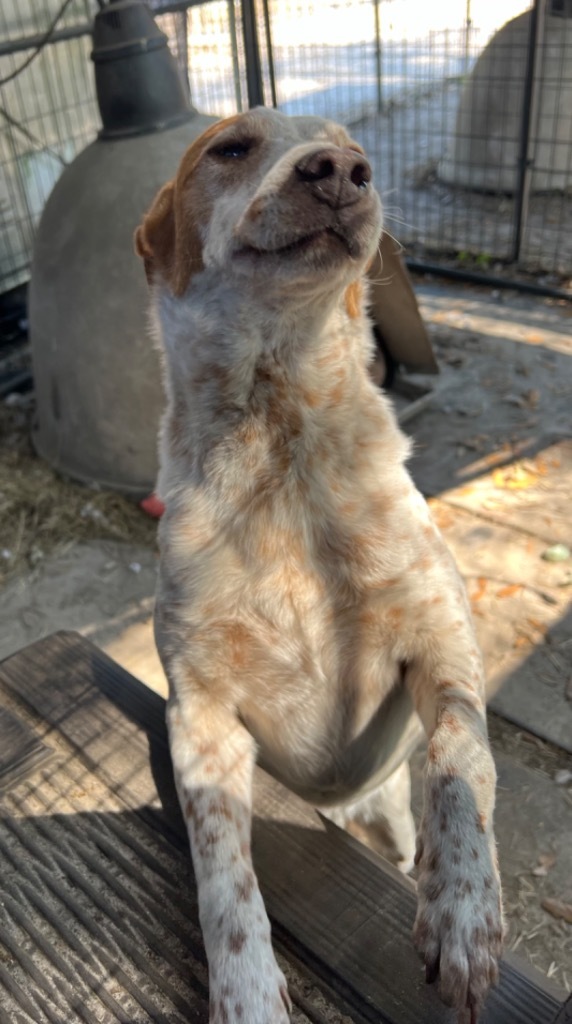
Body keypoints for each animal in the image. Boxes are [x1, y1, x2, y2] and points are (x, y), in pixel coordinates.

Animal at [136, 105, 503, 1024]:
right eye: (230, 148)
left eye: (355, 152)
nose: (341, 171)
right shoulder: (202, 719)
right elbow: (223, 877)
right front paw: (246, 994)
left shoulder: (443, 640)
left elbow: (460, 754)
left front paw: (464, 907)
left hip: (389, 812)